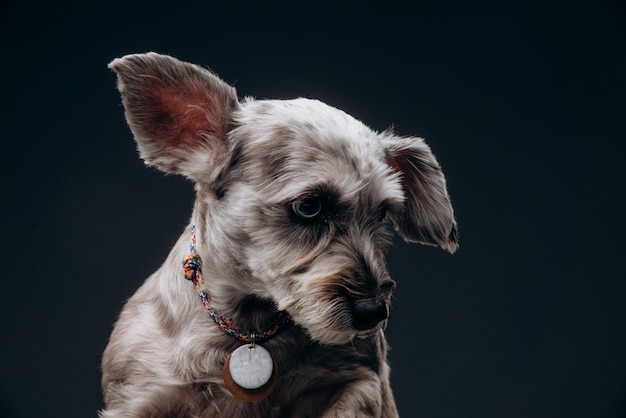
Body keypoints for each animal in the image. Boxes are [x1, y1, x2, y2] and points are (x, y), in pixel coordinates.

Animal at [100, 53, 456, 418]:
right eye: (309, 207)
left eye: (382, 212)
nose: (372, 311)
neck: (249, 329)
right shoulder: (141, 398)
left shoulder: (360, 382)